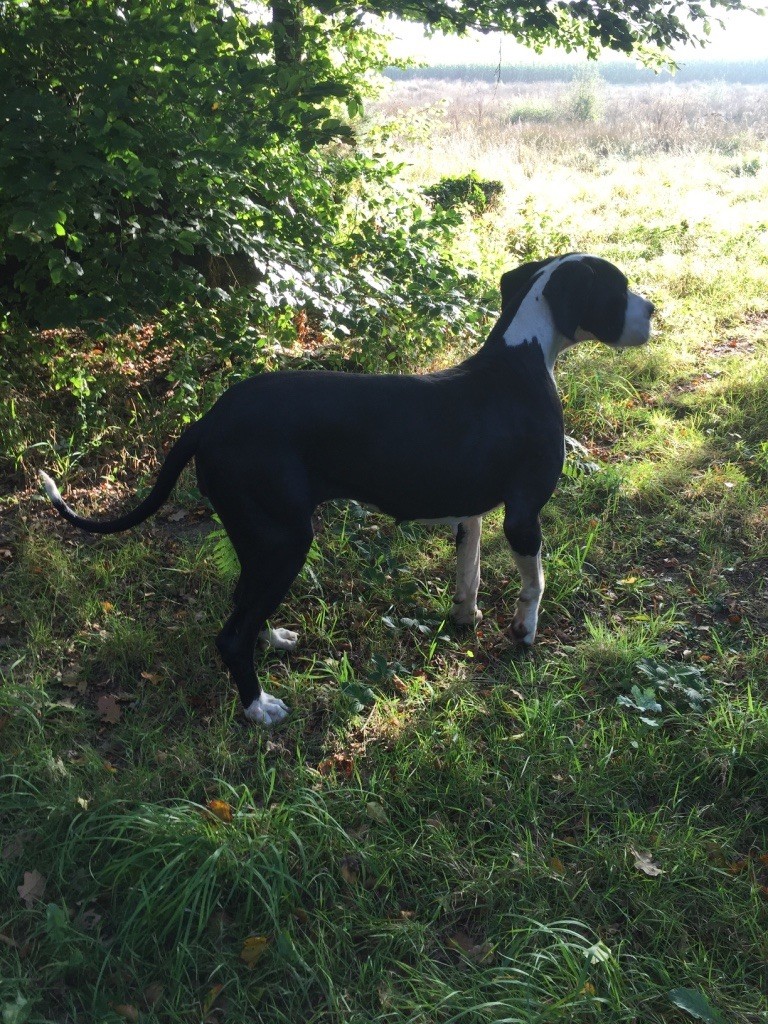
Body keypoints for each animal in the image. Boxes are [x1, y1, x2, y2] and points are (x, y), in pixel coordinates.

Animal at [40, 251, 655, 724]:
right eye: (619, 287)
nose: (653, 311)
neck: (522, 359)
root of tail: (208, 420)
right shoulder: (523, 515)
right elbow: (534, 585)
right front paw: (525, 635)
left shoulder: (471, 512)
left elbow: (470, 572)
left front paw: (466, 617)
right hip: (285, 540)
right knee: (231, 634)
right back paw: (258, 706)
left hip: (258, 539)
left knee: (243, 604)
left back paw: (274, 641)